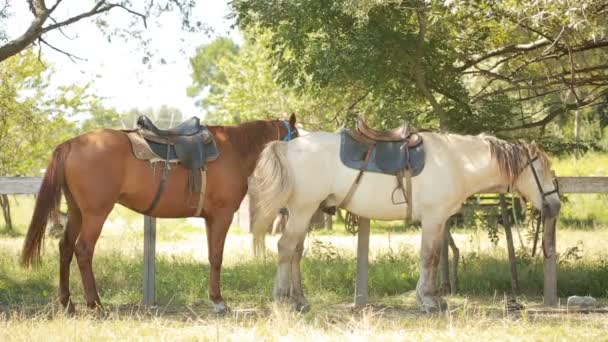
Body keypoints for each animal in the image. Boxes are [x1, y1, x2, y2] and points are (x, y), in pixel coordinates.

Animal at [22, 114, 298, 312]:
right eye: (295, 136)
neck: (234, 150)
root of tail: (70, 144)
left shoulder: (210, 218)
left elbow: (212, 257)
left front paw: (214, 298)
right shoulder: (222, 215)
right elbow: (217, 257)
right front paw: (219, 301)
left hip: (77, 212)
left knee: (66, 248)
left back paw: (68, 304)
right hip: (95, 214)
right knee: (83, 250)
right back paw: (95, 304)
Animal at [248, 130, 560, 312]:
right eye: (543, 170)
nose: (555, 205)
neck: (456, 162)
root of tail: (287, 147)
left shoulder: (439, 221)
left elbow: (435, 257)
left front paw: (434, 298)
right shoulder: (433, 219)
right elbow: (429, 257)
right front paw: (428, 301)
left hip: (302, 211)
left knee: (295, 252)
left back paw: (300, 300)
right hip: (303, 209)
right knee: (286, 248)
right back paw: (283, 300)